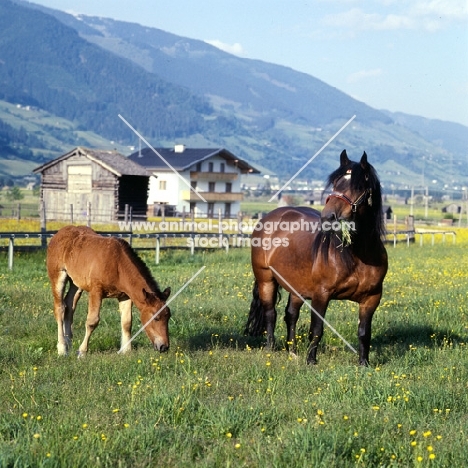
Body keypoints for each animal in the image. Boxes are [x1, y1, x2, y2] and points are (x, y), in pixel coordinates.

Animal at [46, 226, 172, 354]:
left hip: (76, 283)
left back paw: (68, 343)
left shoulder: (125, 296)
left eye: (168, 317)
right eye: (156, 318)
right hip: (58, 275)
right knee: (60, 308)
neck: (118, 264)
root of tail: (58, 234)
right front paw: (82, 351)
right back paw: (62, 348)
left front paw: (126, 351)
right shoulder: (96, 291)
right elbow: (92, 321)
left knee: (70, 306)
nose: (164, 347)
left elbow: (127, 322)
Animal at [245, 150, 388, 366]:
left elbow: (364, 332)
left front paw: (364, 363)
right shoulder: (321, 294)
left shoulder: (372, 298)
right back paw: (271, 348)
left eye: (358, 186)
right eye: (335, 183)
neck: (359, 255)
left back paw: (292, 351)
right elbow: (317, 329)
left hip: (296, 285)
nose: (328, 216)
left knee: (291, 315)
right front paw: (311, 361)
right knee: (271, 313)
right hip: (266, 279)